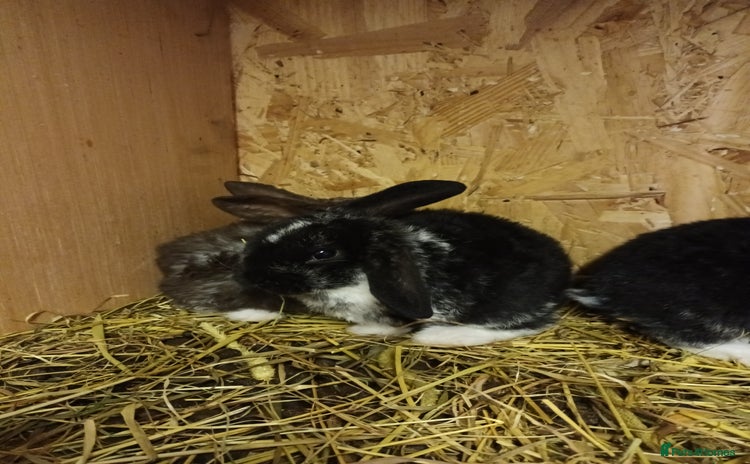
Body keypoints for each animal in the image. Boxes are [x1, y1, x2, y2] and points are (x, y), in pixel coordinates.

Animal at [234, 197, 573, 346]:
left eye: (322, 253)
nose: (250, 270)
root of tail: (564, 265)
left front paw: (363, 331)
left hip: (509, 303)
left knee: (533, 324)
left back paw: (439, 336)